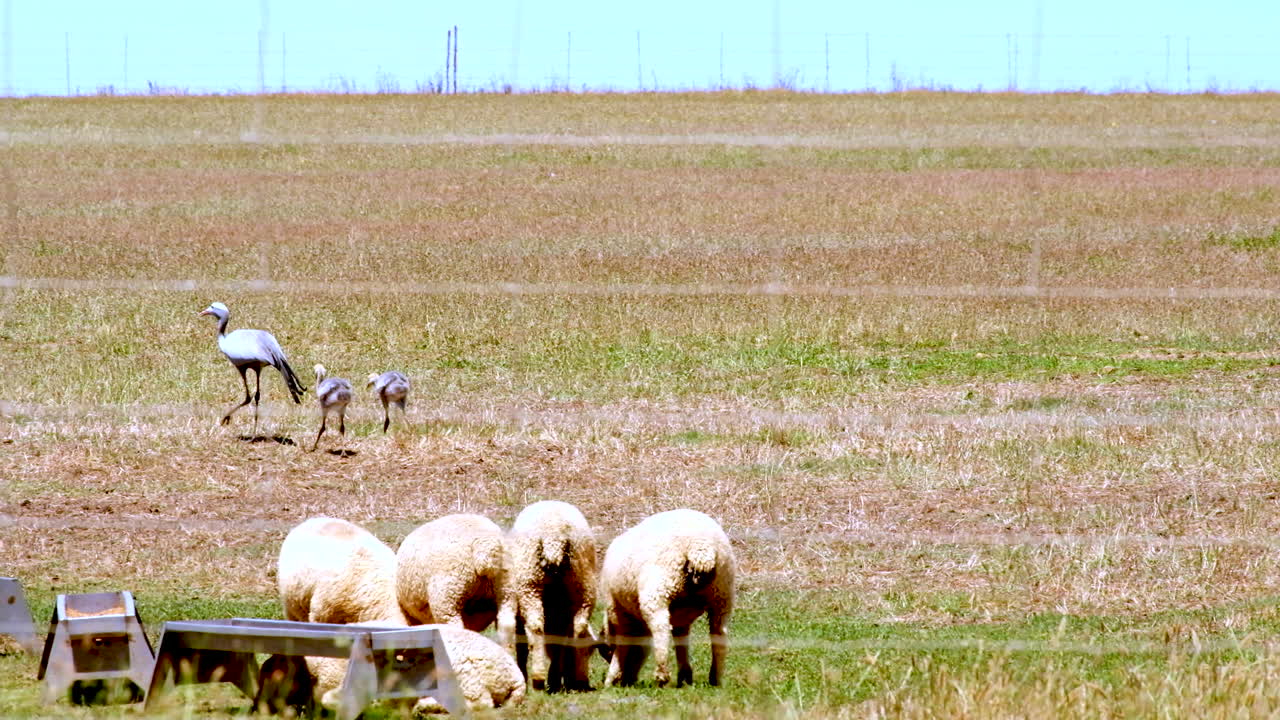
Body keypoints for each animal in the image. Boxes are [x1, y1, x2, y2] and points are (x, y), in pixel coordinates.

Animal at [506, 500, 599, 692]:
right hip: (582, 584)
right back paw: (566, 679)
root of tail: (555, 536)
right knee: (576, 629)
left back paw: (539, 679)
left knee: (536, 626)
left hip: (530, 584)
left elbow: (522, 646)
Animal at [600, 508, 735, 688]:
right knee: (719, 633)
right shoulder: (682, 616)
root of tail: (701, 547)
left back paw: (662, 676)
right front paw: (685, 676)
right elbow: (681, 639)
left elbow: (623, 640)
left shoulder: (616, 608)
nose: (628, 679)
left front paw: (612, 678)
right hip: (722, 594)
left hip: (658, 590)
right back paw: (716, 678)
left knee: (661, 630)